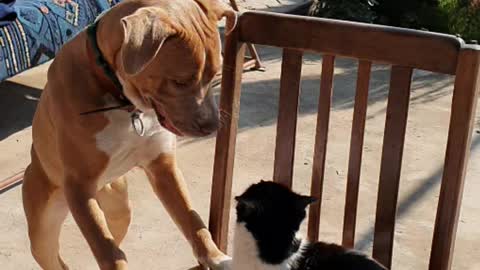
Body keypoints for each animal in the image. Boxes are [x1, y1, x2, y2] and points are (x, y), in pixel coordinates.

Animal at [21, 0, 235, 270]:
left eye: (217, 72)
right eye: (180, 82)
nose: (213, 126)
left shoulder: (162, 166)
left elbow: (193, 221)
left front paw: (217, 257)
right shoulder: (79, 186)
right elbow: (107, 251)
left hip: (118, 207)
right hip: (43, 230)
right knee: (54, 256)